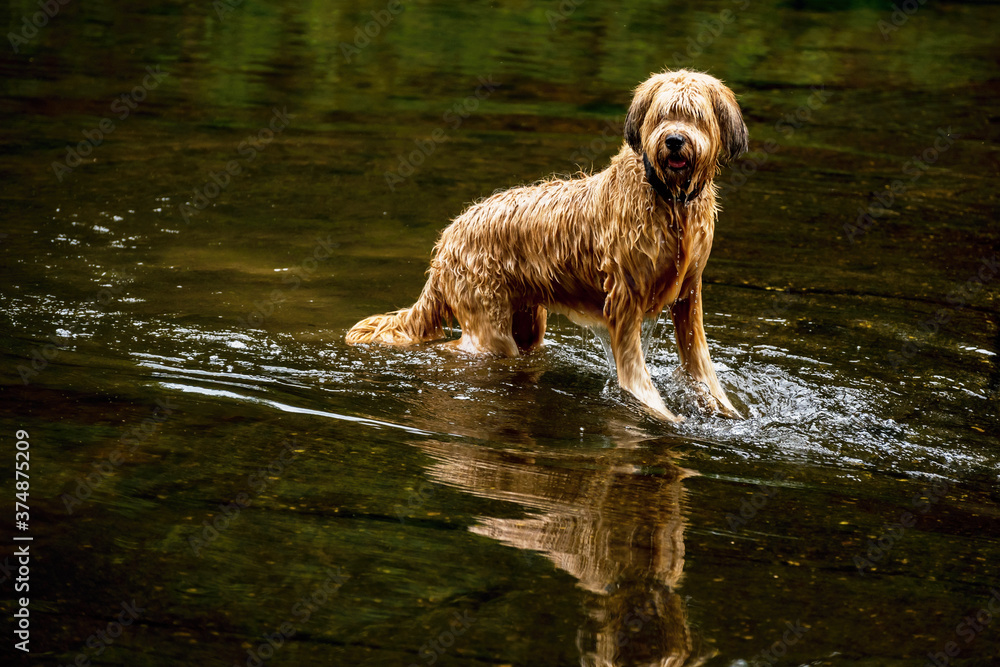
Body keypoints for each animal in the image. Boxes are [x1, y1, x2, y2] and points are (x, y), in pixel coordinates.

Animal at [348, 69, 748, 422]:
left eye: (695, 116)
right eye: (663, 113)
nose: (674, 140)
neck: (668, 199)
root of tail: (448, 237)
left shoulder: (689, 293)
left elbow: (699, 360)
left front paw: (723, 409)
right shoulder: (624, 299)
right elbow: (634, 372)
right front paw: (659, 412)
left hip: (525, 320)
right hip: (488, 326)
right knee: (454, 349)